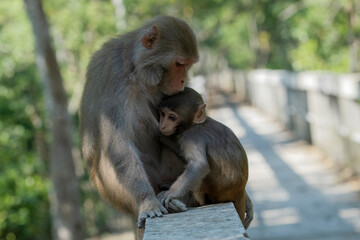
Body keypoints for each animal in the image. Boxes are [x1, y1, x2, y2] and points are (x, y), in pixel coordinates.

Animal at [79, 16, 198, 238]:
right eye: (179, 64)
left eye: (188, 65)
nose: (182, 80)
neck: (135, 68)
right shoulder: (115, 81)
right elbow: (117, 143)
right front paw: (147, 201)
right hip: (112, 192)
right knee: (108, 153)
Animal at [159, 87, 252, 228]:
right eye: (162, 114)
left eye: (172, 117)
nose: (162, 125)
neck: (195, 124)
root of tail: (239, 191)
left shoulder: (190, 136)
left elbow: (198, 164)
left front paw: (170, 194)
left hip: (218, 192)